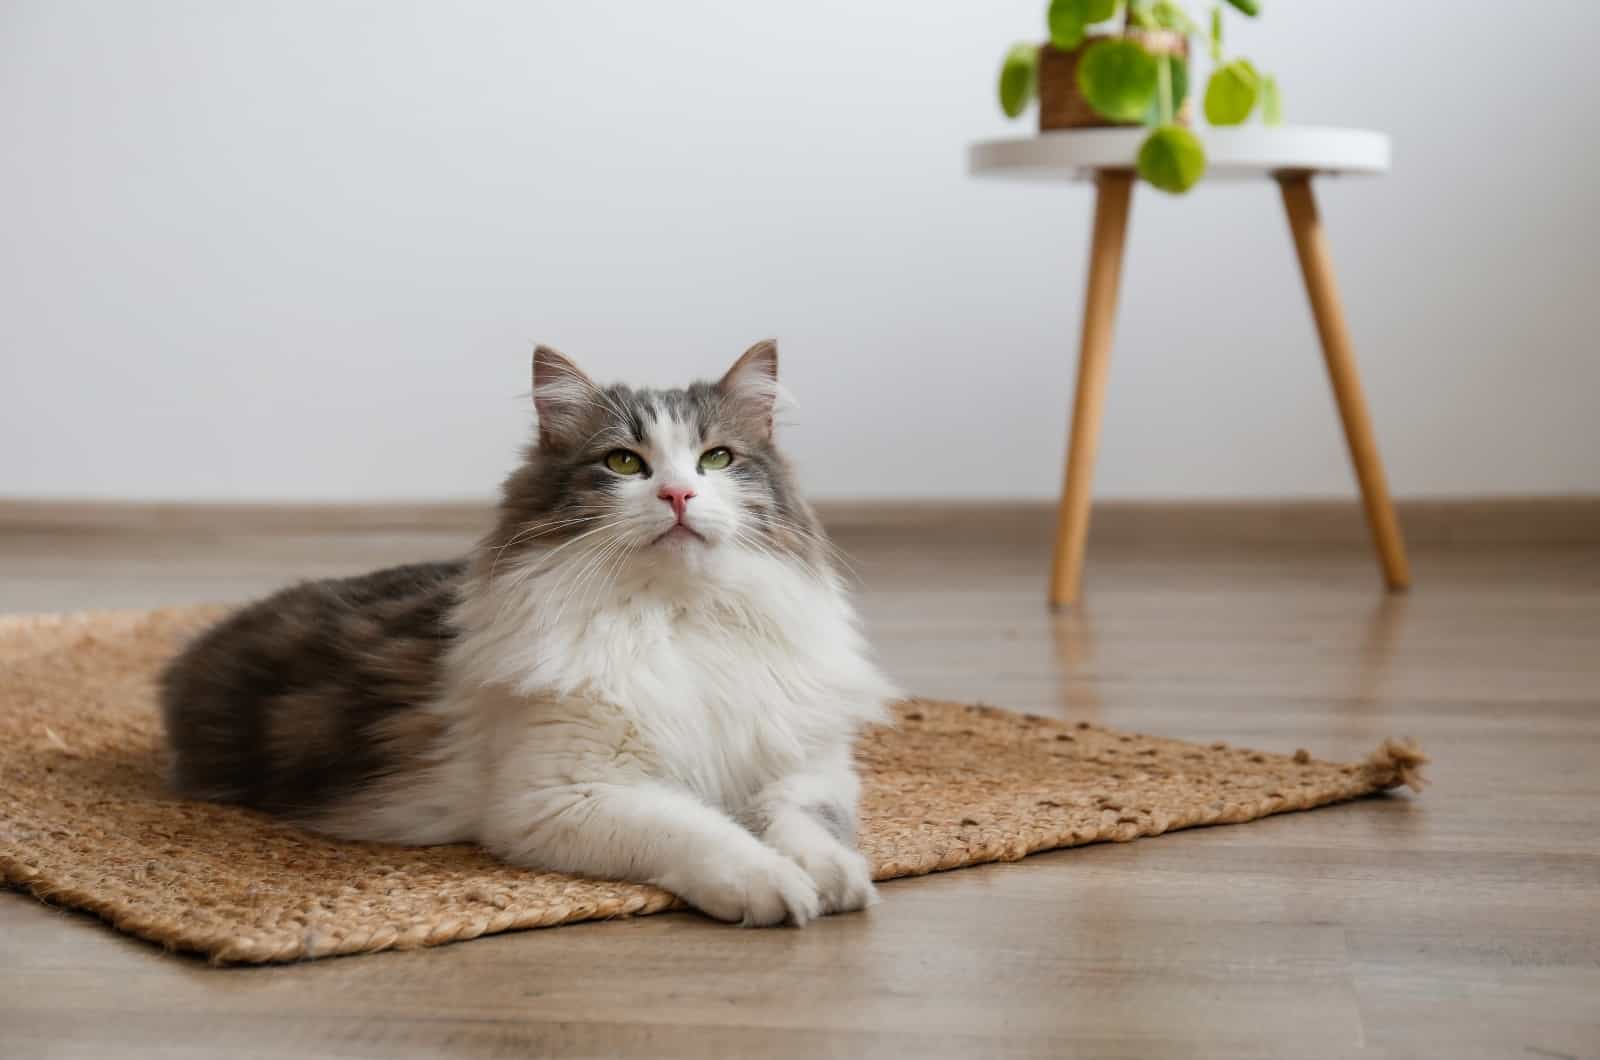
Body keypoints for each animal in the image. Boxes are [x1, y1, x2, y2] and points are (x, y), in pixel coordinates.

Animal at [160, 344, 902, 928]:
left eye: (716, 459)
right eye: (625, 464)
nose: (678, 497)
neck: (675, 617)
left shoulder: (806, 769)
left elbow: (804, 824)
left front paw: (837, 877)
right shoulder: (564, 797)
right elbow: (703, 831)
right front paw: (772, 885)